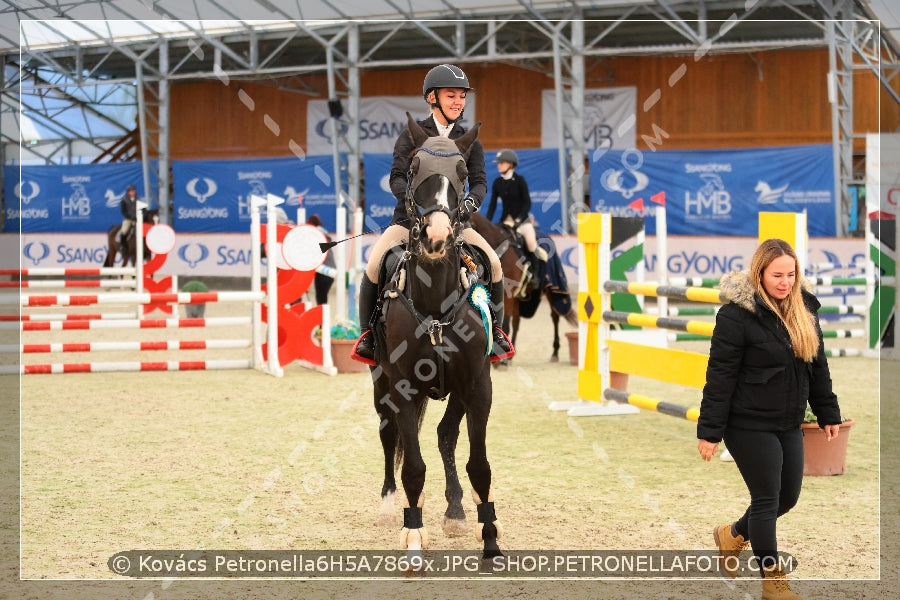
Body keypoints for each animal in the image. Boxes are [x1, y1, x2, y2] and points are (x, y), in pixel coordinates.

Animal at [368, 115, 502, 560]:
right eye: (412, 169)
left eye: (462, 171)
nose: (437, 236)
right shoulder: (404, 386)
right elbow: (412, 467)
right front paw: (413, 537)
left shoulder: (477, 384)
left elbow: (479, 464)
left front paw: (489, 536)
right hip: (380, 383)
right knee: (388, 434)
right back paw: (391, 507)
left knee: (445, 435)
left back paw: (456, 511)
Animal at [472, 214, 576, 366]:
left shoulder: (508, 295)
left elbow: (506, 324)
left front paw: (502, 362)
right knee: (517, 322)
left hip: (551, 290)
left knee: (555, 318)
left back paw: (555, 353)